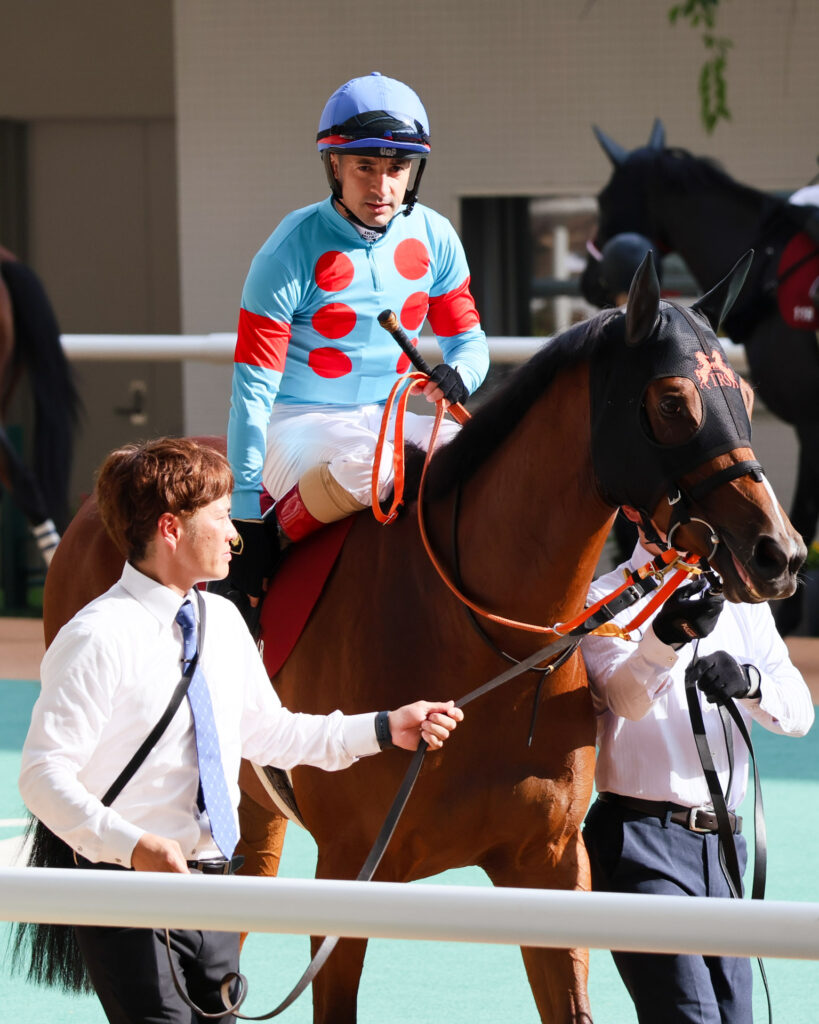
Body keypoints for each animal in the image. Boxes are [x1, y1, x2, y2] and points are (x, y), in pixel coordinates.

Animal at [36, 254, 803, 1023]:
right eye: (672, 401)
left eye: (741, 390)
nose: (781, 552)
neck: (489, 644)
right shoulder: (349, 868)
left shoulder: (551, 865)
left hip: (246, 815)